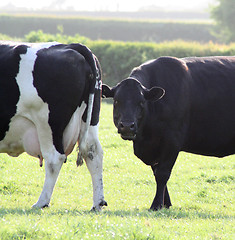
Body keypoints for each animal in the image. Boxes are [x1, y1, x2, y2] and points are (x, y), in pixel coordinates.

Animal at [0, 41, 107, 210]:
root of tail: (68, 46)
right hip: (90, 120)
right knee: (93, 153)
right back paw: (98, 203)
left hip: (47, 123)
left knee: (54, 158)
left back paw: (41, 202)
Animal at [102, 55, 235, 210]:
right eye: (116, 101)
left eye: (141, 102)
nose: (127, 126)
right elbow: (156, 172)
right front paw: (166, 203)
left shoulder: (172, 140)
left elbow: (162, 173)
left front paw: (156, 204)